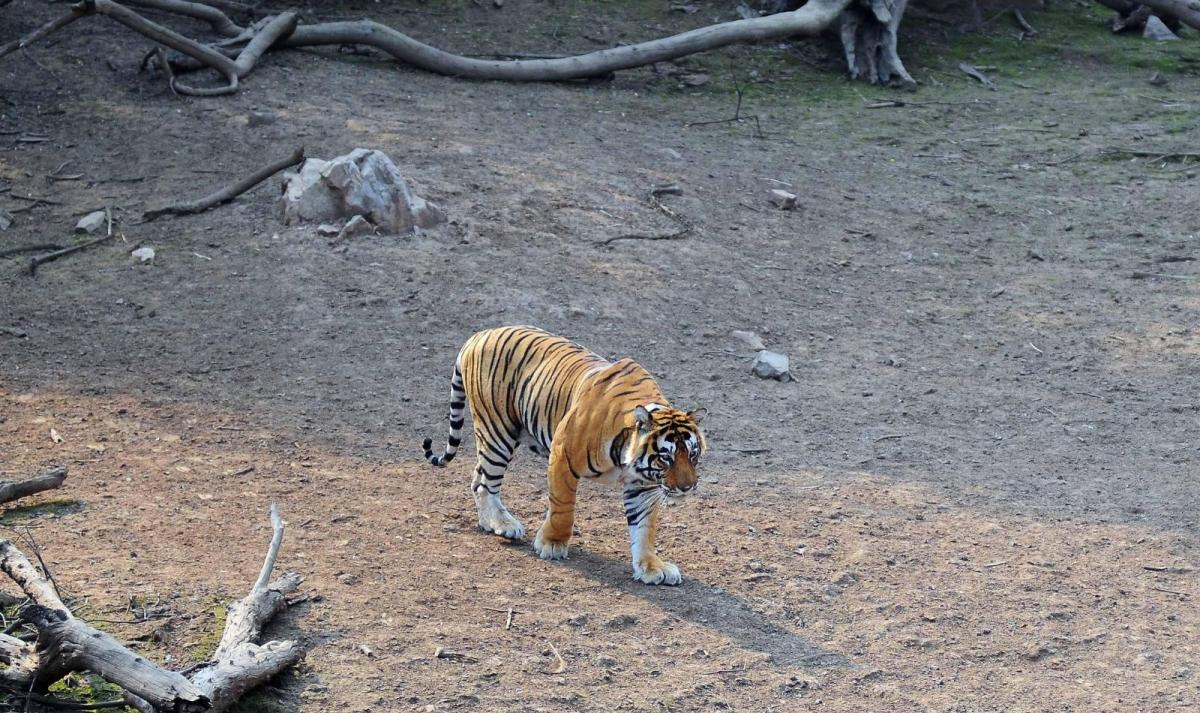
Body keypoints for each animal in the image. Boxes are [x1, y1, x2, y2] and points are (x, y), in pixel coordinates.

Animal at [422, 326, 707, 585]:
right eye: (666, 458)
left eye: (693, 455)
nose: (687, 487)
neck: (626, 458)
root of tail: (480, 334)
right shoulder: (562, 456)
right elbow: (563, 509)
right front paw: (552, 544)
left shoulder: (644, 484)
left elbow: (644, 527)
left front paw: (650, 567)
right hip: (497, 432)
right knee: (484, 482)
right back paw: (504, 524)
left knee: (476, 477)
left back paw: (490, 522)